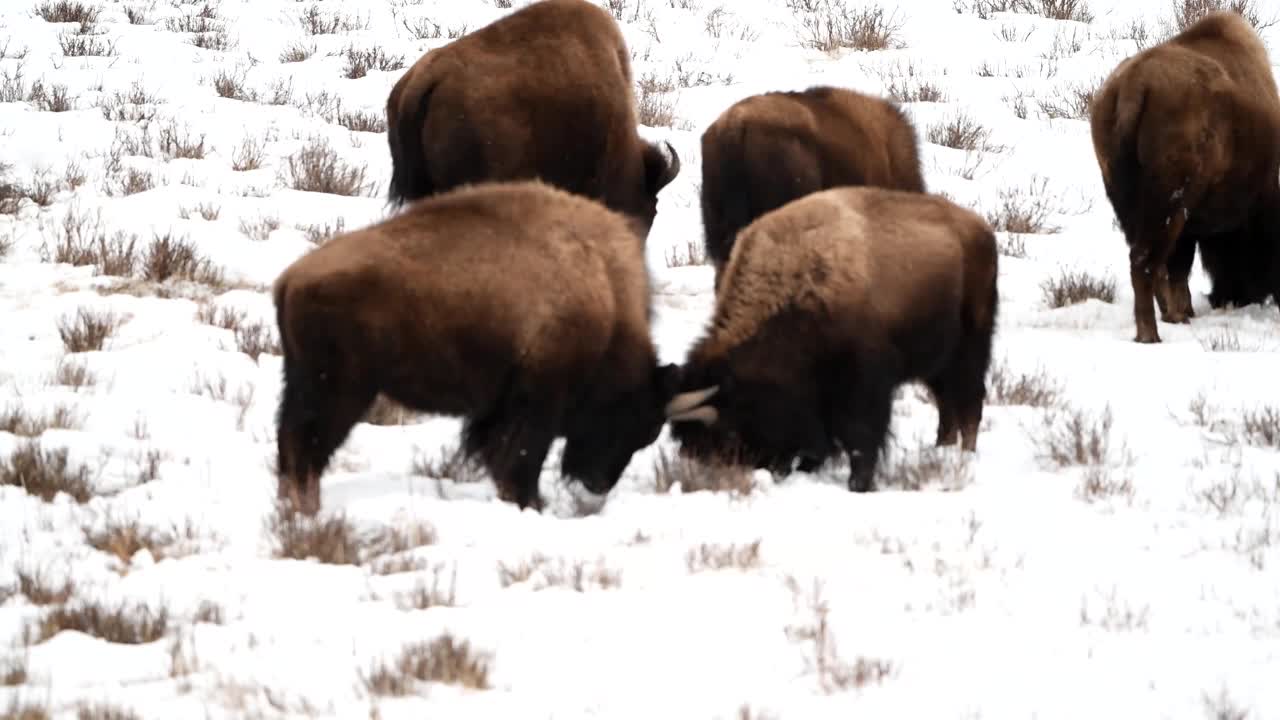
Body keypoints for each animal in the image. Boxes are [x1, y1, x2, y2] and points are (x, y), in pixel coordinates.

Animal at [275, 179, 686, 515]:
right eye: (636, 423)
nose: (597, 484)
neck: (604, 294)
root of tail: (290, 280)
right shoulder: (535, 403)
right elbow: (521, 459)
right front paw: (528, 503)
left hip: (305, 383)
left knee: (291, 445)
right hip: (340, 391)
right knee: (306, 448)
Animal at [665, 183, 1003, 491]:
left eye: (727, 430)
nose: (726, 473)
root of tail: (981, 230)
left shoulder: (862, 383)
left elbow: (860, 437)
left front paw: (858, 483)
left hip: (970, 349)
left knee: (970, 401)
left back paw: (964, 455)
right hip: (937, 363)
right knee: (947, 403)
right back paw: (942, 450)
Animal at [1090, 9, 1280, 340]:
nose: (1226, 296)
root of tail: (1133, 88)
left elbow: (1179, 268)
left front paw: (1183, 311)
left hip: (1137, 204)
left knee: (1150, 263)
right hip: (1169, 206)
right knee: (1146, 262)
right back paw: (1151, 334)